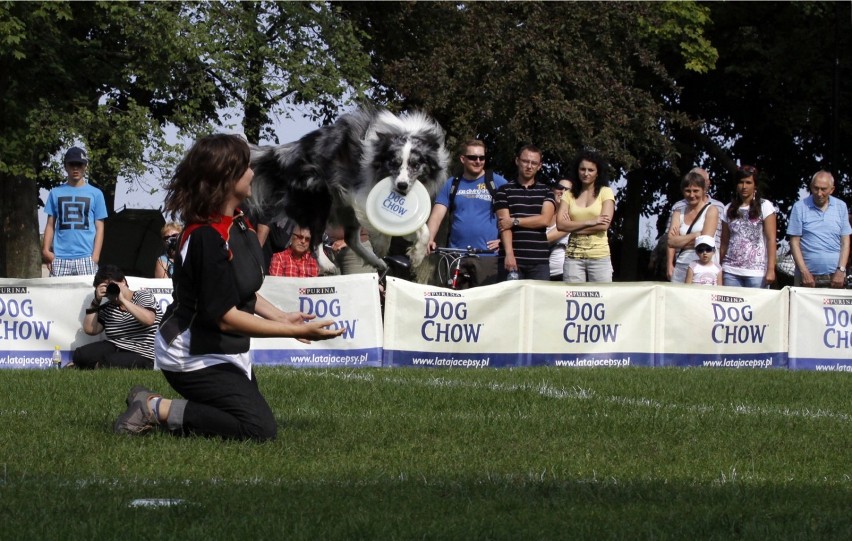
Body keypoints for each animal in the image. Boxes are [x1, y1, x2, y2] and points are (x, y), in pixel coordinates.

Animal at [250, 108, 450, 272]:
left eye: (415, 165)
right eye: (394, 163)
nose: (402, 186)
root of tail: (288, 153)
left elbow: (423, 230)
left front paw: (416, 255)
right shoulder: (359, 193)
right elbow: (382, 225)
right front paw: (384, 244)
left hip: (342, 208)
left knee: (349, 238)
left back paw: (375, 260)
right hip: (321, 198)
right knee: (316, 239)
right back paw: (327, 264)